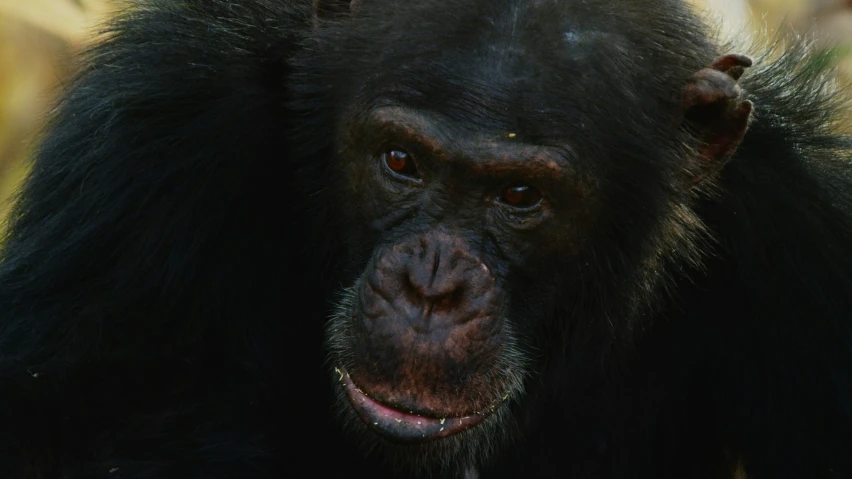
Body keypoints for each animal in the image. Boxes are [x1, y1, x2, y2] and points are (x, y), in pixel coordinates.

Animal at [1, 0, 852, 478]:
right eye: (400, 160)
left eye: (520, 195)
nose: (432, 285)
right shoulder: (151, 134)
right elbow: (57, 430)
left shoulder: (806, 233)